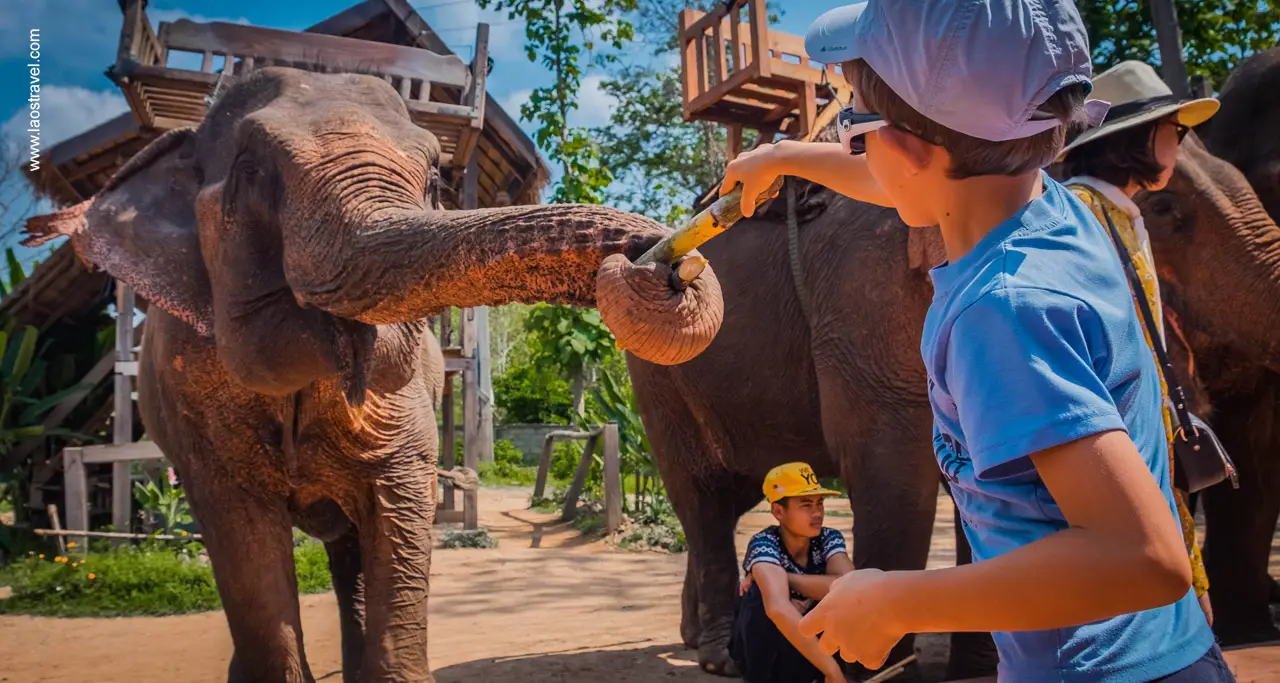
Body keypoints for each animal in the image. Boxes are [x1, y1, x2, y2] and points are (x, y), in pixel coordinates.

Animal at [22, 65, 721, 683]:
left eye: (436, 176)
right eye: (250, 169)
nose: (661, 264)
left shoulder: (406, 395)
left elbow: (399, 504)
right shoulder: (190, 394)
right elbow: (242, 537)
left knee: (350, 548)